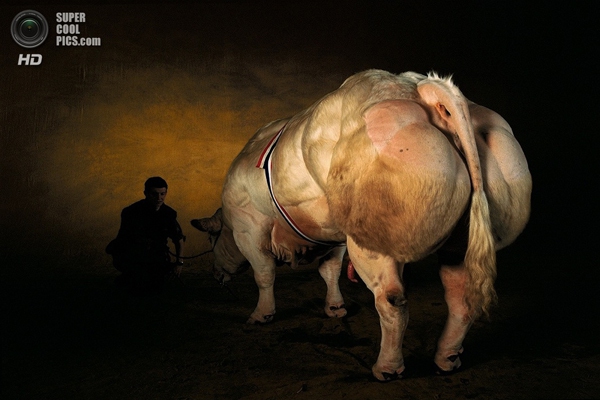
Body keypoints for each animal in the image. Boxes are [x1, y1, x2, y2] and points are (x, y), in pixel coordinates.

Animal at [191, 69, 528, 382]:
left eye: (212, 240)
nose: (215, 274)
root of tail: (418, 87)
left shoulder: (249, 228)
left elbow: (264, 274)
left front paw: (262, 314)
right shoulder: (334, 237)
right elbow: (329, 271)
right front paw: (335, 308)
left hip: (373, 241)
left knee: (392, 301)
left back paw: (387, 368)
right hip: (457, 243)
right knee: (461, 298)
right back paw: (446, 358)